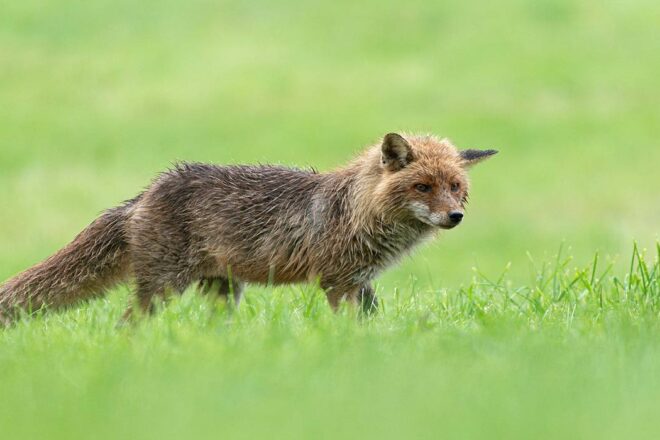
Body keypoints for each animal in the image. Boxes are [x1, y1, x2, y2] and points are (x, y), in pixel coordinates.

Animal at [0, 133, 496, 324]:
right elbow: (346, 325)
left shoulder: (361, 282)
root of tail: (146, 193)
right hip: (163, 288)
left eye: (455, 187)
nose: (455, 217)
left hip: (224, 292)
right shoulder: (337, 282)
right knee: (127, 325)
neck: (357, 211)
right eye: (423, 186)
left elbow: (373, 320)